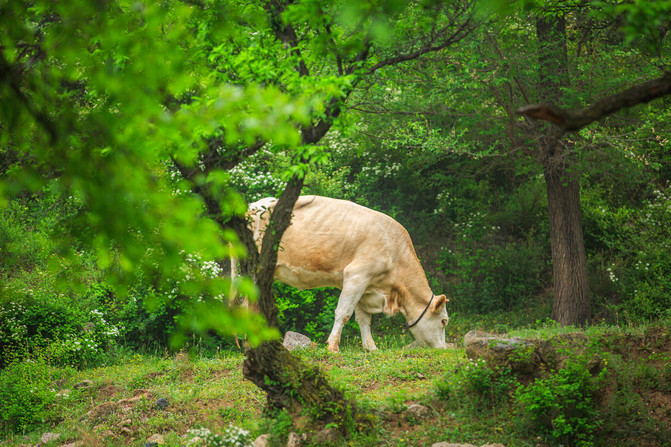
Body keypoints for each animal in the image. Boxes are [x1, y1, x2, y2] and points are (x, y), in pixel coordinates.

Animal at [246, 195, 449, 352]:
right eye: (444, 321)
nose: (443, 350)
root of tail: (254, 205)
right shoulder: (357, 275)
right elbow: (343, 312)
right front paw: (333, 347)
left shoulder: (365, 285)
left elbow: (363, 319)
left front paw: (371, 348)